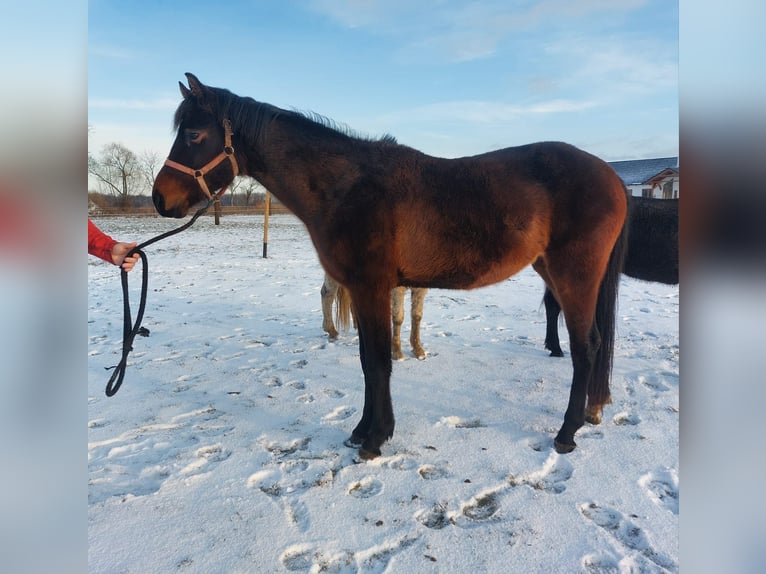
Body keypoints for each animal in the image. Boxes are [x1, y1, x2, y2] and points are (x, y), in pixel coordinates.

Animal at [152, 73, 632, 460]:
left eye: (194, 134)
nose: (160, 199)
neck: (347, 186)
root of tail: (611, 176)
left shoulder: (372, 287)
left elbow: (379, 361)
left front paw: (375, 438)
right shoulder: (367, 289)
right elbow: (368, 359)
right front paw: (361, 430)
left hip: (574, 275)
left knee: (586, 347)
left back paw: (566, 433)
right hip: (553, 271)